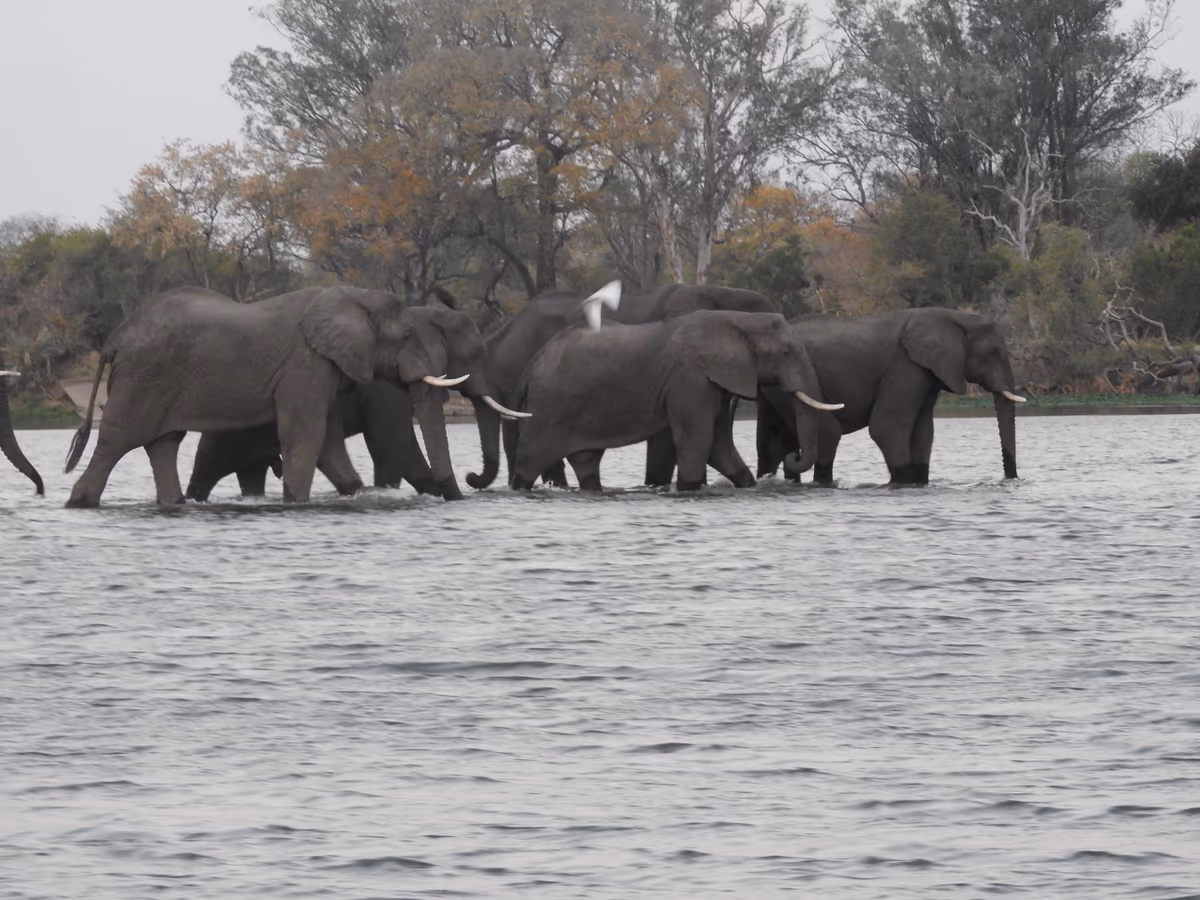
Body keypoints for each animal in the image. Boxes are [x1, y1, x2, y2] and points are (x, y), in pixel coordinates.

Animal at [62, 285, 514, 507]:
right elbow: (311, 434)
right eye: (405, 337)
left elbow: (327, 439)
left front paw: (353, 494)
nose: (465, 486)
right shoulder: (308, 364)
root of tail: (114, 340)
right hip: (142, 381)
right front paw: (297, 502)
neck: (350, 300)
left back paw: (174, 504)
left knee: (163, 445)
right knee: (117, 442)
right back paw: (81, 502)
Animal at [510, 310, 842, 492]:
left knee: (586, 462)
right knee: (530, 459)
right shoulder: (690, 379)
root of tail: (530, 367)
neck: (738, 319)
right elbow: (698, 440)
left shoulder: (712, 381)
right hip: (547, 409)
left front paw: (747, 485)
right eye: (786, 352)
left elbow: (719, 446)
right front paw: (689, 489)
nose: (793, 457)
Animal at [755, 307, 1026, 486]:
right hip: (787, 381)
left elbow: (924, 431)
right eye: (993, 352)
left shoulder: (927, 372)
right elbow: (887, 428)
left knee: (775, 439)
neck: (955, 316)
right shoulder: (906, 365)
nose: (1011, 478)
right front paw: (903, 483)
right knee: (828, 433)